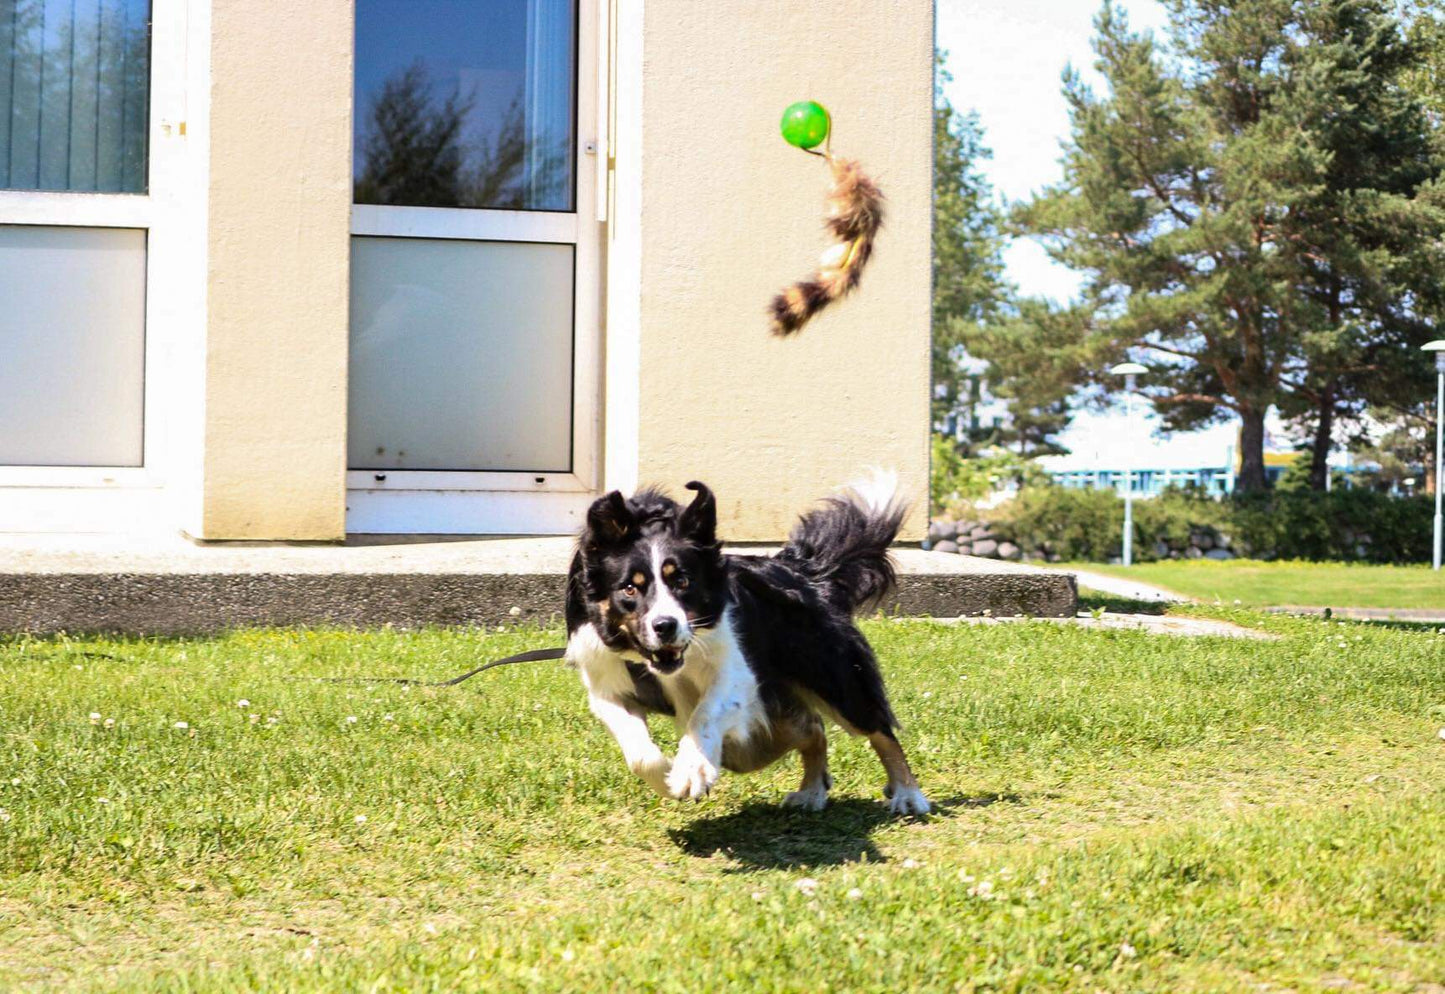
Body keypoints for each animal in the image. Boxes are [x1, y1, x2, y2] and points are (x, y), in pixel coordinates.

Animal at [557, 476, 930, 814]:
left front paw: (692, 769)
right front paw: (667, 774)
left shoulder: (735, 669)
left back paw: (908, 795)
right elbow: (638, 752)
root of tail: (804, 571)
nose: (665, 626)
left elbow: (706, 712)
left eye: (682, 581)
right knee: (810, 727)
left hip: (831, 674)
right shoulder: (606, 685)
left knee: (876, 727)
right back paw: (811, 791)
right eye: (630, 588)